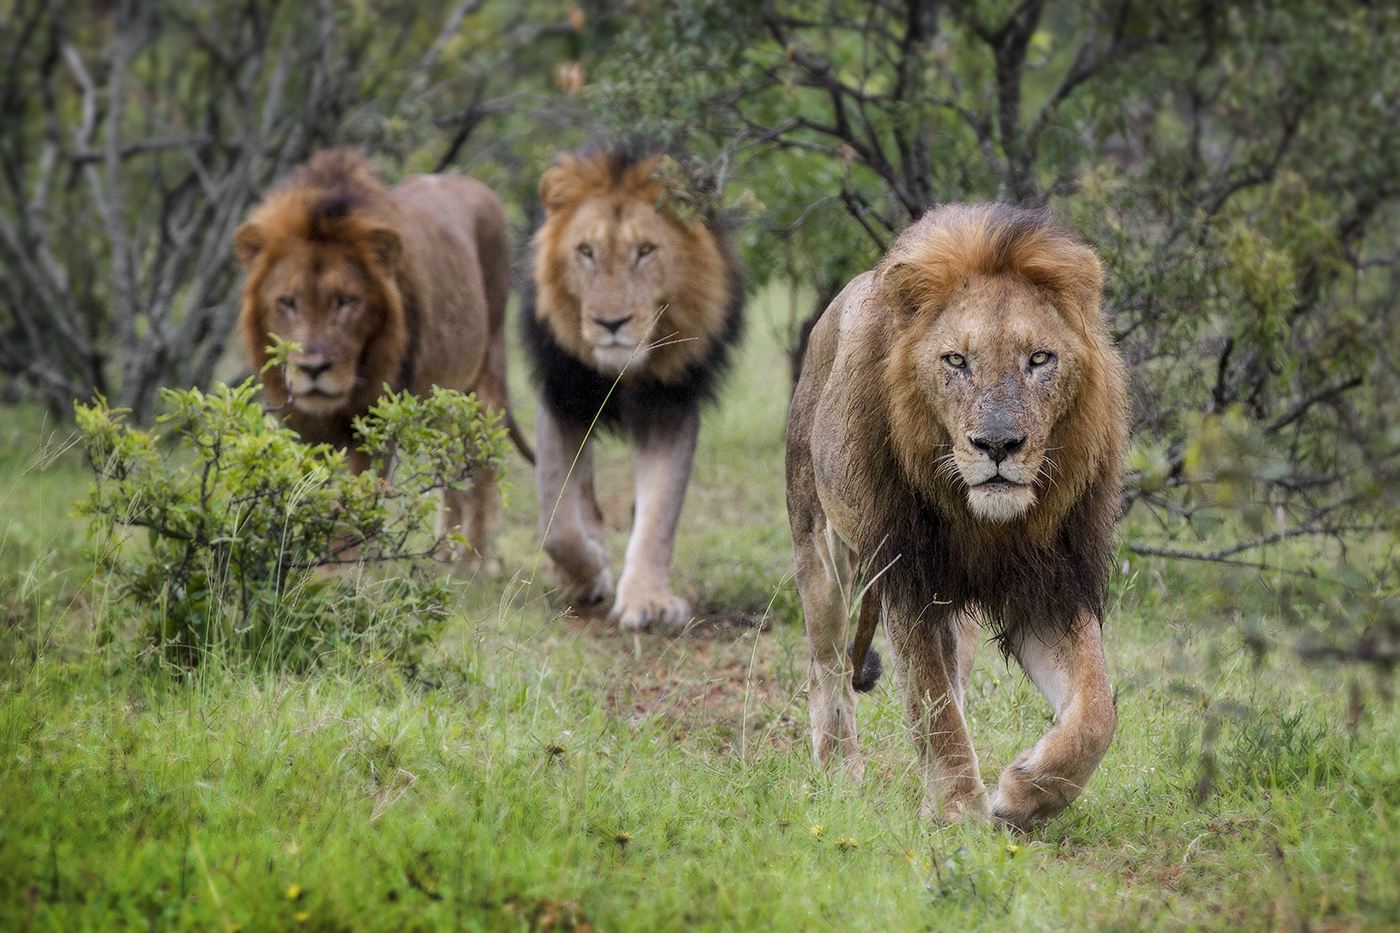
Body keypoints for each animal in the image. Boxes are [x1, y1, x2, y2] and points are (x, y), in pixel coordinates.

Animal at [235, 147, 529, 565]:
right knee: (452, 468)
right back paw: (445, 556)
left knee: (482, 465)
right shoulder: (301, 425)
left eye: (346, 301)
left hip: (488, 368)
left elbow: (357, 500)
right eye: (287, 302)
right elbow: (310, 491)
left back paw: (474, 562)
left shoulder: (375, 421)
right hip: (445, 400)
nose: (313, 369)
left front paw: (346, 567)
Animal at [520, 149, 744, 627]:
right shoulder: (563, 397)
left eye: (645, 251)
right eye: (586, 251)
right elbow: (557, 521)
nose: (611, 323)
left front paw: (647, 601)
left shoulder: (670, 406)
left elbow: (659, 511)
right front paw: (587, 575)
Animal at [789, 201, 1125, 823]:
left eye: (1039, 359)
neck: (985, 521)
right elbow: (932, 705)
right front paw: (957, 812)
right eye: (956, 361)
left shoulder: (1051, 585)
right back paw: (839, 772)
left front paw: (1024, 794)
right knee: (827, 669)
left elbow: (1096, 711)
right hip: (817, 548)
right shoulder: (908, 579)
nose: (997, 444)